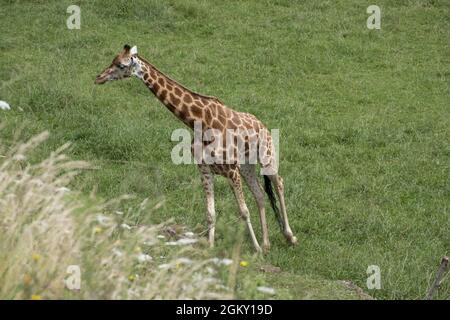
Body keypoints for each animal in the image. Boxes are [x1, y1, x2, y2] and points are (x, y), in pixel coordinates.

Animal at [95, 44, 298, 252]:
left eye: (121, 65)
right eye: (112, 60)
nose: (98, 77)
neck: (198, 121)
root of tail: (262, 125)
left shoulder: (231, 170)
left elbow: (243, 211)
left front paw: (255, 249)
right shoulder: (205, 168)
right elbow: (210, 213)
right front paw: (210, 248)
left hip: (266, 156)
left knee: (279, 183)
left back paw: (289, 237)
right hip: (246, 166)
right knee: (259, 193)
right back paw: (266, 243)